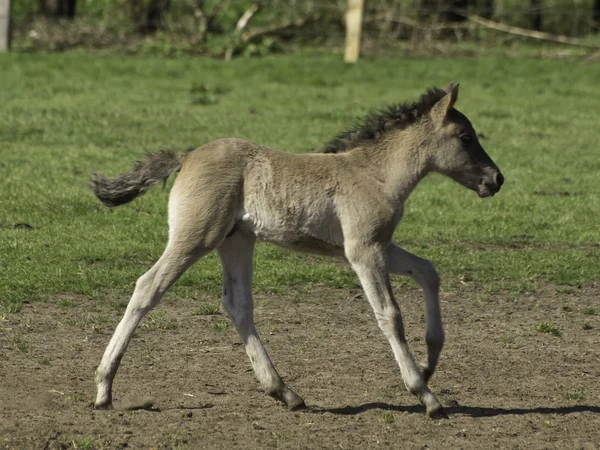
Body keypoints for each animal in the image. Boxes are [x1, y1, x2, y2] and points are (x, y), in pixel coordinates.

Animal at [90, 84, 502, 418]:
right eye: (465, 137)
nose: (496, 179)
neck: (375, 175)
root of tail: (186, 158)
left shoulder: (377, 246)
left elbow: (428, 270)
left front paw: (430, 362)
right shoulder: (364, 250)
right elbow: (389, 314)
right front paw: (425, 394)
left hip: (237, 240)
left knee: (237, 304)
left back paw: (285, 392)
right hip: (196, 237)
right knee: (148, 287)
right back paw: (104, 388)